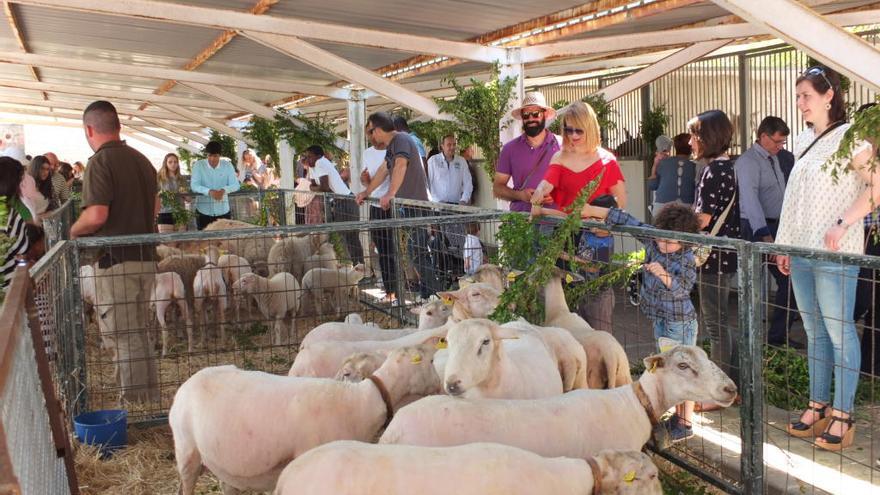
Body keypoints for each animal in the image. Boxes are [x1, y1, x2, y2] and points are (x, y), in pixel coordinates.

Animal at [168, 342, 440, 494]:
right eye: (431, 361)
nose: (440, 386)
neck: (362, 400)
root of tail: (189, 381)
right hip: (187, 451)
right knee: (185, 486)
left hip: (223, 462)